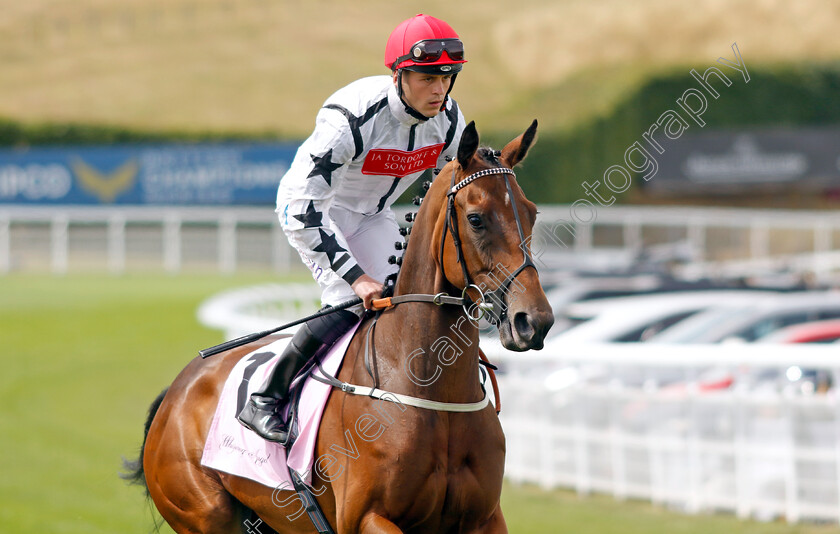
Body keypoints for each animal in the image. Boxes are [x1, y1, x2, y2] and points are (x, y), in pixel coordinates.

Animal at [126, 121, 552, 534]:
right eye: (476, 219)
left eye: (532, 213)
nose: (534, 321)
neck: (429, 389)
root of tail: (176, 391)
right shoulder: (365, 517)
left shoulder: (484, 518)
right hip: (203, 514)